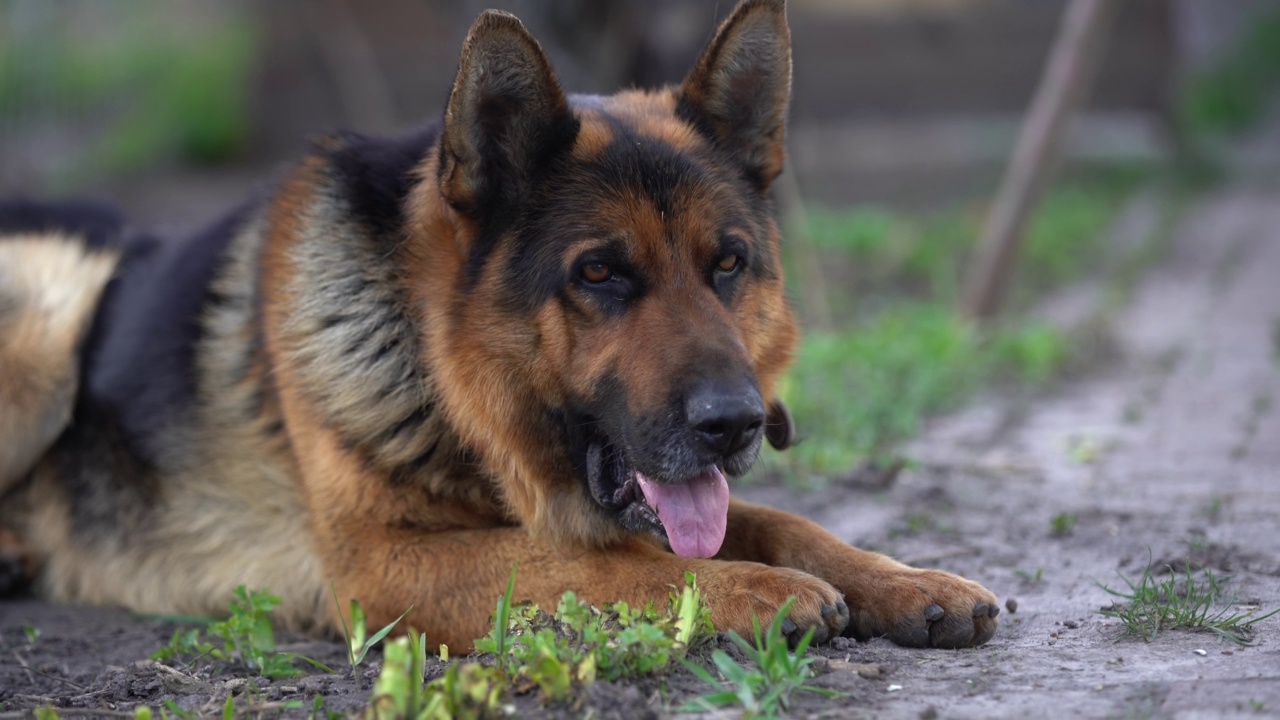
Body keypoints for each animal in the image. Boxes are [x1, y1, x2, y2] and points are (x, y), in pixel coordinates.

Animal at [0, 0, 998, 648]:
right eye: (598, 273)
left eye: (728, 264)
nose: (735, 425)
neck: (441, 379)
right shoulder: (384, 563)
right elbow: (601, 564)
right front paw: (760, 591)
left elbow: (783, 521)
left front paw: (903, 579)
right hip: (54, 313)